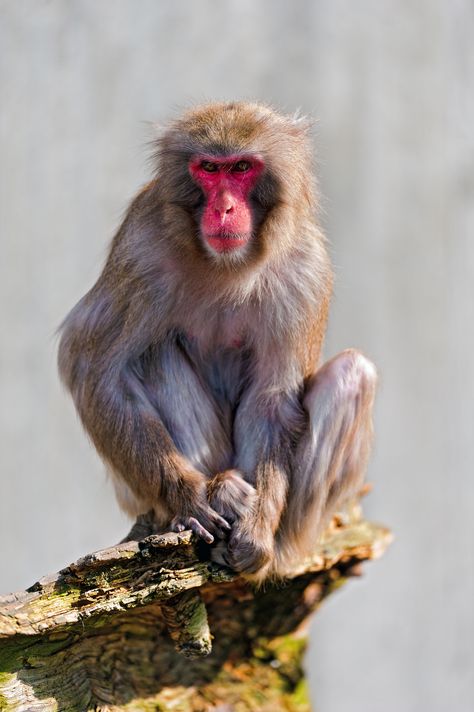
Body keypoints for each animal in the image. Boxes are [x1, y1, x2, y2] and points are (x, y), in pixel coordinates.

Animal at [58, 100, 378, 580]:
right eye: (209, 168)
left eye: (242, 167)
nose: (224, 209)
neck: (227, 265)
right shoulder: (141, 250)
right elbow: (93, 368)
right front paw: (187, 496)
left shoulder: (306, 273)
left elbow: (271, 402)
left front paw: (256, 531)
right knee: (151, 353)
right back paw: (210, 494)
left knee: (353, 374)